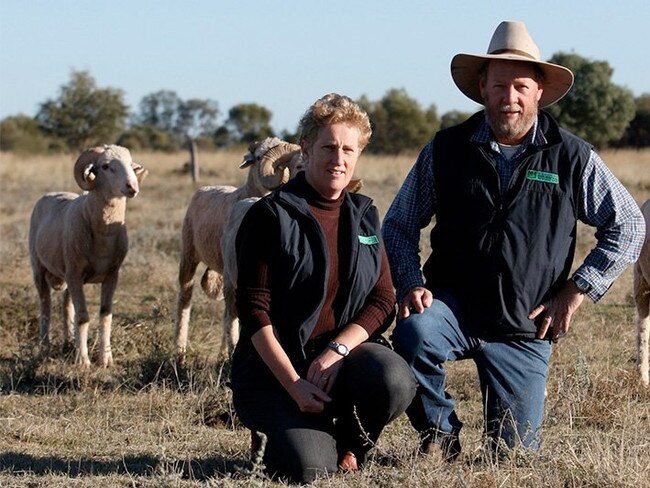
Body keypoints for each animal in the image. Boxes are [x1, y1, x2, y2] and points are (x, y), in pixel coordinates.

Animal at [28, 145, 146, 366]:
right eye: (106, 166)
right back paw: (44, 347)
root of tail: (52, 193)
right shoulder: (75, 274)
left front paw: (105, 359)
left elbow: (105, 315)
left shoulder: (111, 275)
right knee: (45, 306)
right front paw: (83, 361)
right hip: (39, 268)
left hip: (67, 275)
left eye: (130, 164)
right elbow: (83, 316)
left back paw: (69, 344)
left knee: (66, 306)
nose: (132, 186)